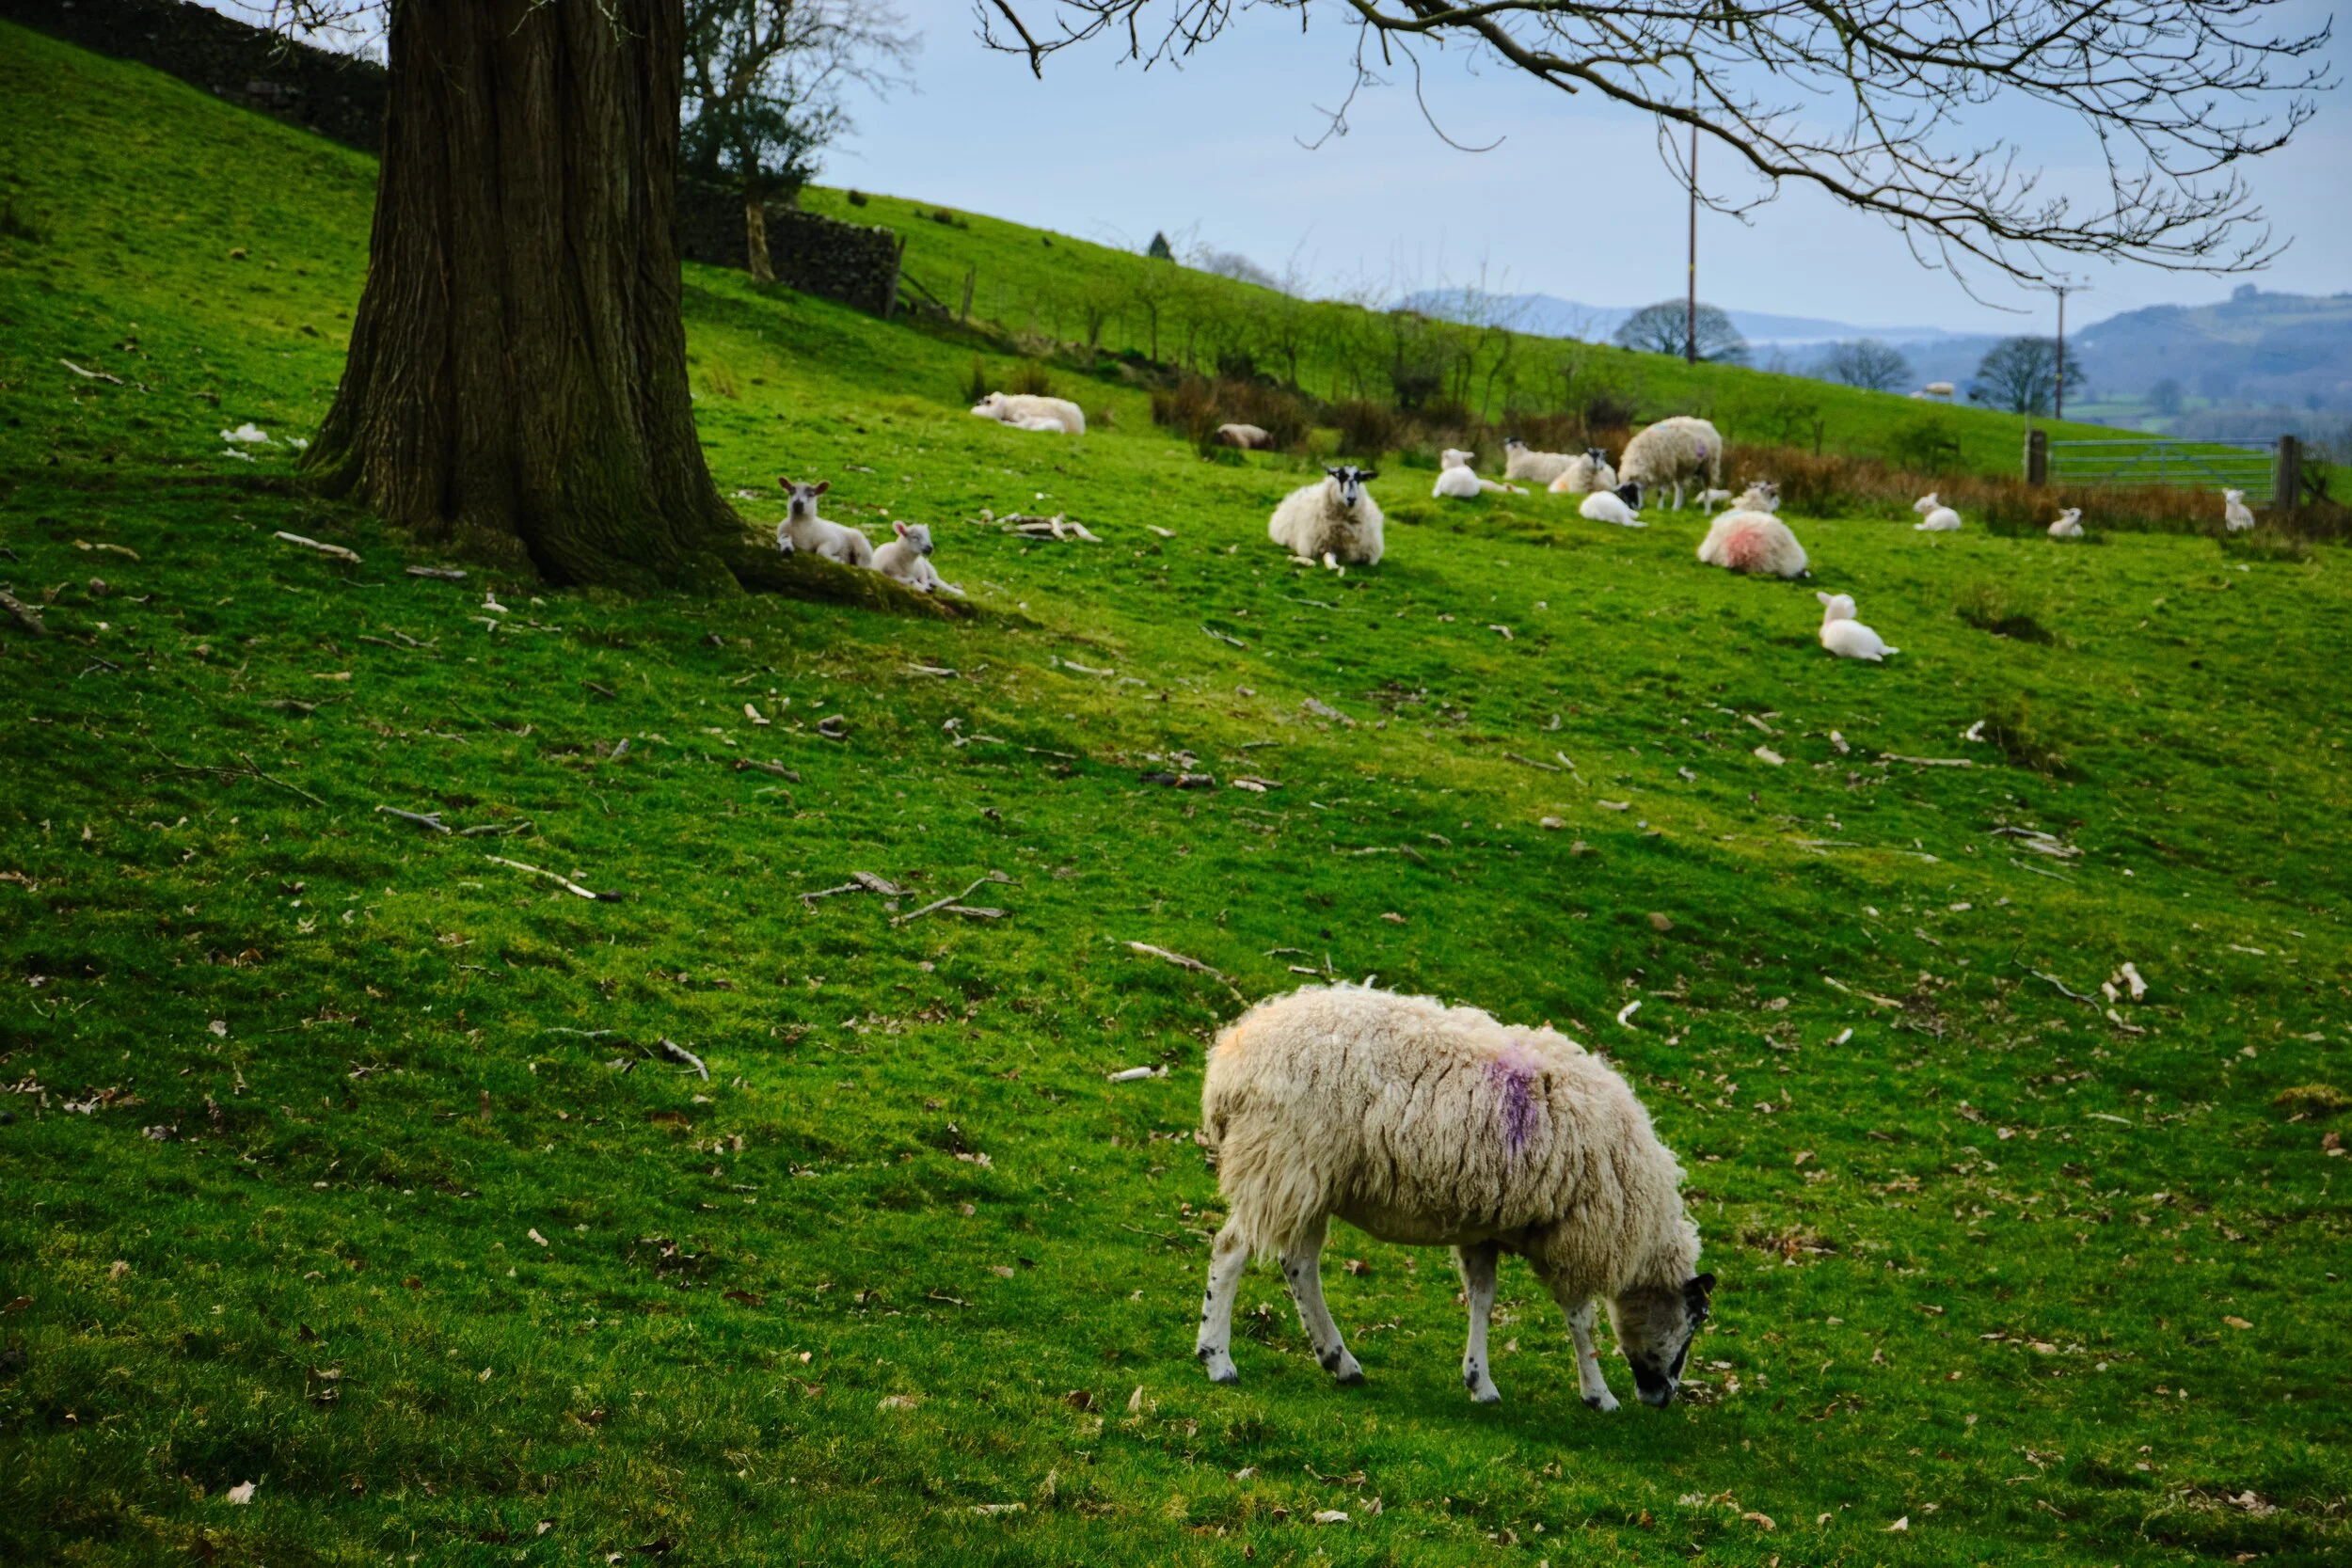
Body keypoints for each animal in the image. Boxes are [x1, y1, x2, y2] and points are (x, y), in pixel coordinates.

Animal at [1193, 983, 1715, 1409]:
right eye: (1693, 1323)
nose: (1663, 1397)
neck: (1644, 1235)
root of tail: (1230, 1060)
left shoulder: (1485, 1228)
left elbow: (1482, 1298)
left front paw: (1480, 1381)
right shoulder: (1572, 1236)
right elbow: (1580, 1319)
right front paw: (1599, 1394)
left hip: (1308, 1179)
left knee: (1300, 1264)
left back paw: (1339, 1359)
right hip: (1281, 1162)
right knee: (1232, 1250)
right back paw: (1217, 1358)